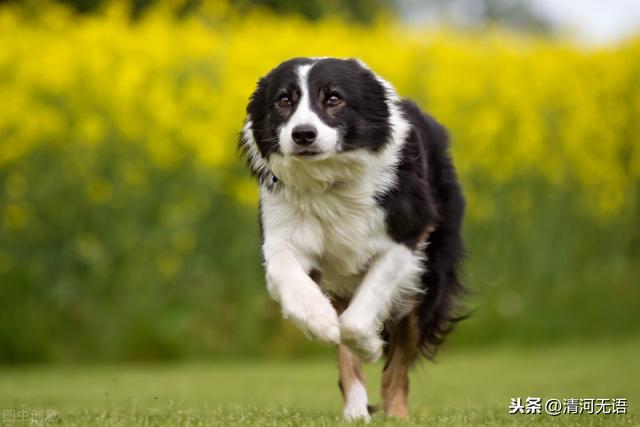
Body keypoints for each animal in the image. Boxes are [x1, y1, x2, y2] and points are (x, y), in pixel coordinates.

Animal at [240, 58, 464, 422]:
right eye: (283, 100)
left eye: (334, 99)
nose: (303, 134)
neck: (329, 181)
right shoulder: (282, 234)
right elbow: (289, 276)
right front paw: (319, 322)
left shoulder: (406, 235)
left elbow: (359, 320)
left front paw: (370, 345)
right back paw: (356, 413)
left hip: (430, 276)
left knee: (398, 366)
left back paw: (396, 414)